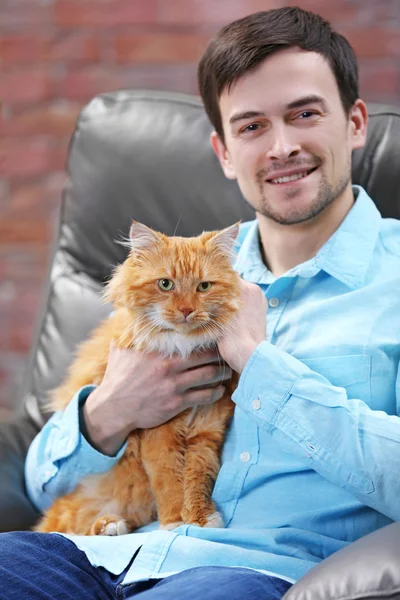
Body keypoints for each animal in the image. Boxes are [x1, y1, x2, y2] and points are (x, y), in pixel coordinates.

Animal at [35, 219, 241, 536]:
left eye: (203, 286)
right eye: (165, 284)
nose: (186, 310)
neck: (182, 347)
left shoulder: (206, 431)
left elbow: (197, 479)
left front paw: (200, 518)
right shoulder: (158, 435)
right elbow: (169, 480)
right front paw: (174, 521)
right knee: (69, 526)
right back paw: (108, 525)